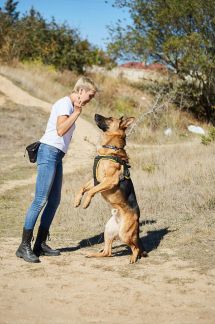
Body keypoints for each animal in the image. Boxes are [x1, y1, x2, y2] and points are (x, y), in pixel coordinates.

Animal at [74, 114, 148, 264]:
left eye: (110, 118)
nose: (96, 114)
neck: (110, 148)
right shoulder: (96, 180)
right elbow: (82, 187)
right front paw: (77, 200)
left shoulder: (109, 181)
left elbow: (91, 191)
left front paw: (86, 203)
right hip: (108, 231)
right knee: (107, 252)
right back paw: (91, 254)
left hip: (125, 234)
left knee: (136, 247)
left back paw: (133, 258)